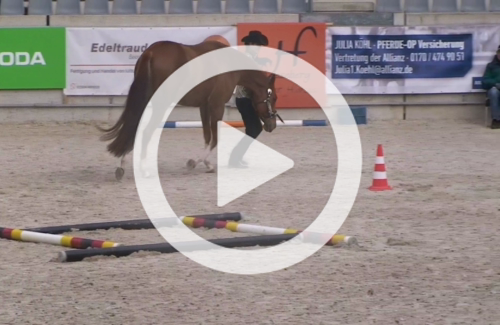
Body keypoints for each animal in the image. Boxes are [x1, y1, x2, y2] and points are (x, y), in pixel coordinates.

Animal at [95, 39, 280, 180]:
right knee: (146, 131)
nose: (272, 125)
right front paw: (197, 162)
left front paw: (206, 164)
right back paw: (144, 170)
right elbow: (215, 138)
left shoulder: (204, 106)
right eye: (274, 98)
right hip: (161, 105)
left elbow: (207, 136)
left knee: (134, 128)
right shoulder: (217, 105)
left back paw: (122, 165)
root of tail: (151, 53)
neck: (227, 63)